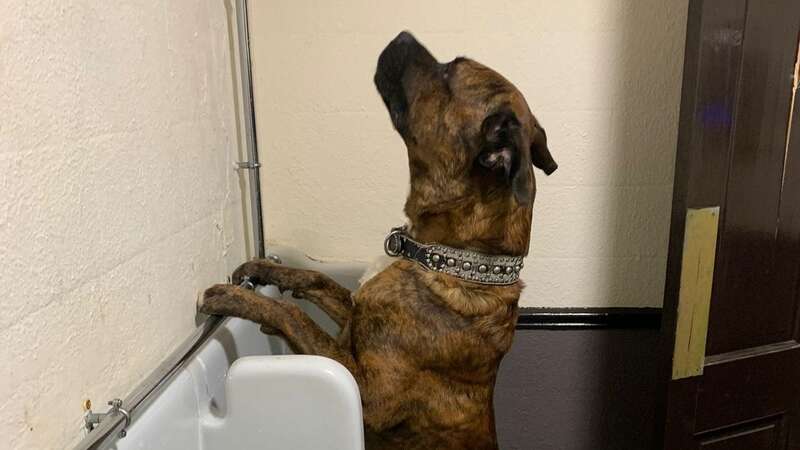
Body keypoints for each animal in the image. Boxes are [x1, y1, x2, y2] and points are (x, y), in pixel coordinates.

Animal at [200, 32, 556, 450]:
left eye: (449, 72)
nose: (403, 34)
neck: (448, 258)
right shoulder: (354, 315)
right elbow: (317, 279)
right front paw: (263, 268)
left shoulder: (370, 395)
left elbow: (295, 315)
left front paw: (235, 299)